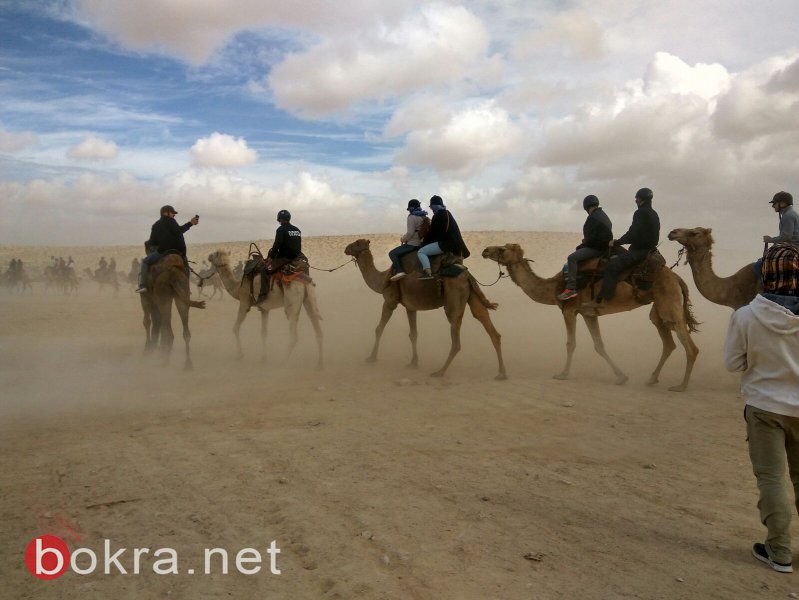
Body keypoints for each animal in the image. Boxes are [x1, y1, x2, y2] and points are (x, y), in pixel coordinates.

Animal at [344, 237, 506, 378]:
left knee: (456, 337)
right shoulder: (410, 306)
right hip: (472, 294)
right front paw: (413, 362)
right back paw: (501, 373)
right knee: (486, 321)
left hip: (454, 298)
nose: (346, 248)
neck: (383, 278)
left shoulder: (390, 301)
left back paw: (440, 372)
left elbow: (379, 328)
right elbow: (413, 333)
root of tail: (467, 275)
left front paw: (371, 358)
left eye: (356, 243)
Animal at [482, 241, 700, 392]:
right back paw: (652, 379)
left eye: (502, 249)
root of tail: (677, 278)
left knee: (690, 346)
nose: (485, 250)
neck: (554, 287)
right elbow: (599, 345)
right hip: (659, 309)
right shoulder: (589, 313)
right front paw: (621, 376)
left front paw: (563, 374)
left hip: (669, 303)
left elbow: (571, 344)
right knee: (668, 342)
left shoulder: (569, 311)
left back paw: (681, 386)